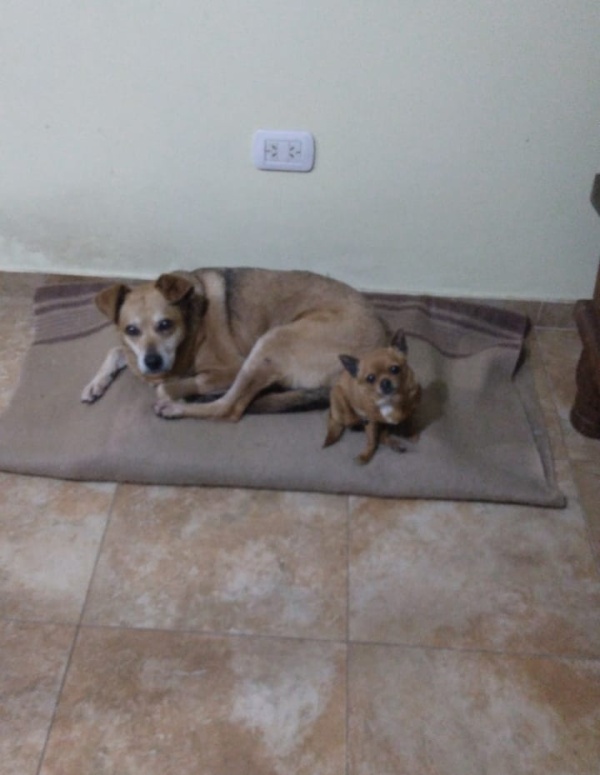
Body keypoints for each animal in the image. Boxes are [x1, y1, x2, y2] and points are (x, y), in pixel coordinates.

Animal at [81, 267, 388, 421]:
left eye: (165, 324)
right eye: (131, 330)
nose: (152, 362)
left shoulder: (231, 367)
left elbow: (168, 385)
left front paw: (174, 389)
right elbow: (116, 351)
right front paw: (95, 384)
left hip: (270, 342)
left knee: (229, 408)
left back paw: (177, 407)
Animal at [323, 330, 421, 464]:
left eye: (395, 369)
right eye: (370, 378)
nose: (385, 382)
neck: (390, 400)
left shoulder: (411, 410)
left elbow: (409, 421)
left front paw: (411, 433)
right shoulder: (371, 422)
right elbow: (371, 440)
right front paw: (366, 455)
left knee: (383, 435)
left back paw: (395, 443)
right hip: (343, 408)